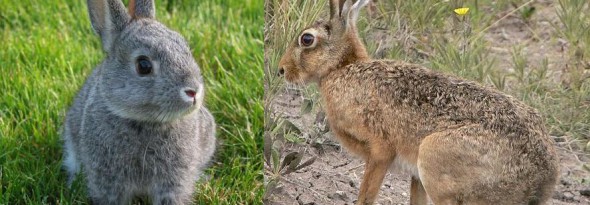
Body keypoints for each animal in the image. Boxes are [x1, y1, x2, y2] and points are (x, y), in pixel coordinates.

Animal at [61, 0, 217, 203]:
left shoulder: (174, 181)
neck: (146, 122)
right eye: (144, 65)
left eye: (186, 48)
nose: (193, 91)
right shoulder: (108, 179)